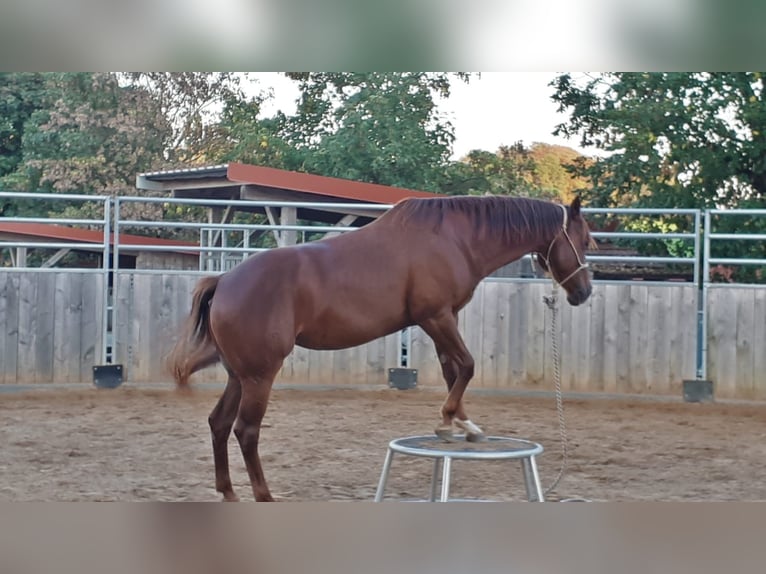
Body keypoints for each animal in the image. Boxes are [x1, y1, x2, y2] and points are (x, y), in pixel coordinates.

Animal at [171, 196, 596, 502]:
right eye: (583, 240)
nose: (584, 292)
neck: (454, 239)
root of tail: (224, 280)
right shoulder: (435, 317)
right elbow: (468, 365)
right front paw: (449, 420)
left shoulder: (446, 319)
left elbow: (453, 370)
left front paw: (461, 424)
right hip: (260, 376)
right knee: (246, 430)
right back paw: (263, 496)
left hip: (239, 375)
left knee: (219, 423)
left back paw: (228, 492)